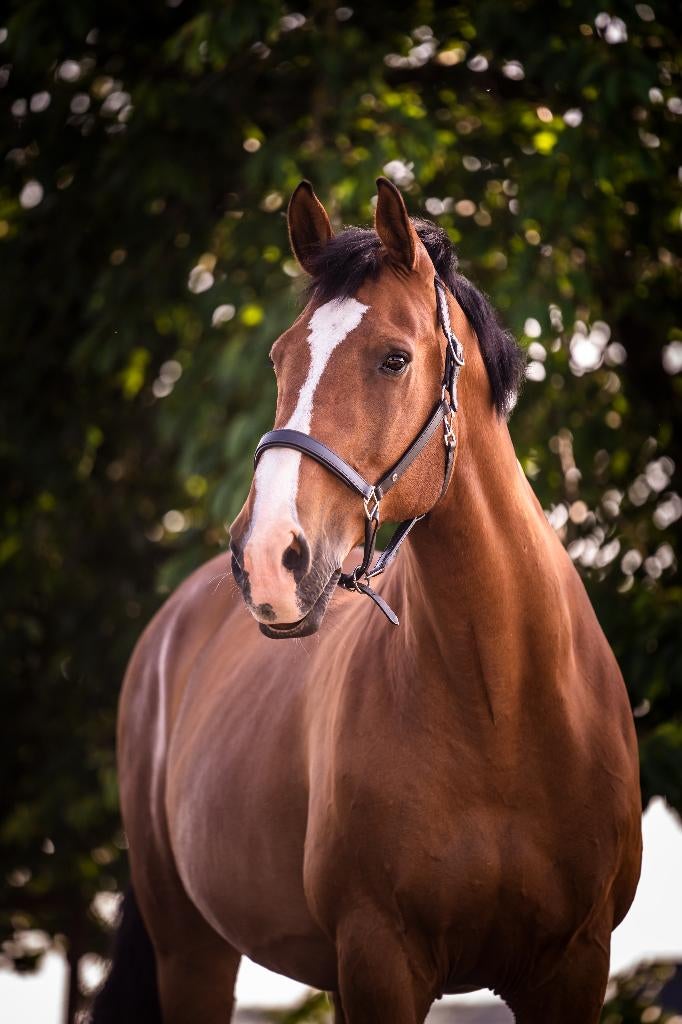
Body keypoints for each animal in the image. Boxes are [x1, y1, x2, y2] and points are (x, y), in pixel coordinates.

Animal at [94, 178, 642, 1024]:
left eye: (393, 358)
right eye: (279, 357)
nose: (266, 559)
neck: (506, 705)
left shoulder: (575, 965)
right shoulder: (380, 956)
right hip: (192, 954)